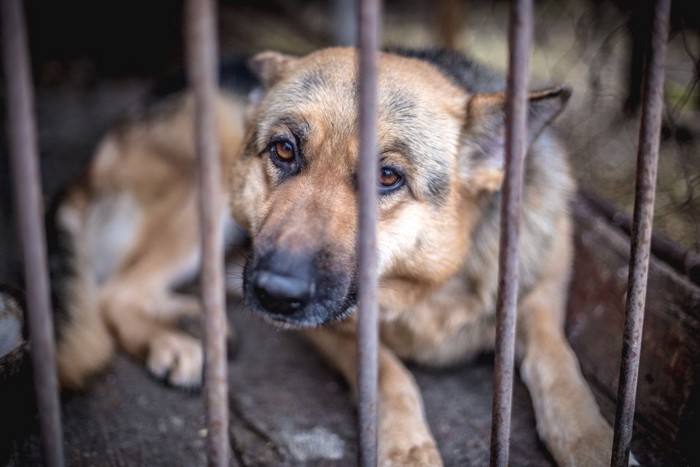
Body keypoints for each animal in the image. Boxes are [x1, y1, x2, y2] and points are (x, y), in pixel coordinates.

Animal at [53, 46, 616, 464]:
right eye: (284, 150)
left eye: (387, 177)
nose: (275, 294)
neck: (431, 289)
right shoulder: (335, 329)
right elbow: (390, 373)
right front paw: (407, 446)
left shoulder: (539, 295)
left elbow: (558, 360)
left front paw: (591, 440)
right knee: (115, 292)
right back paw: (176, 344)